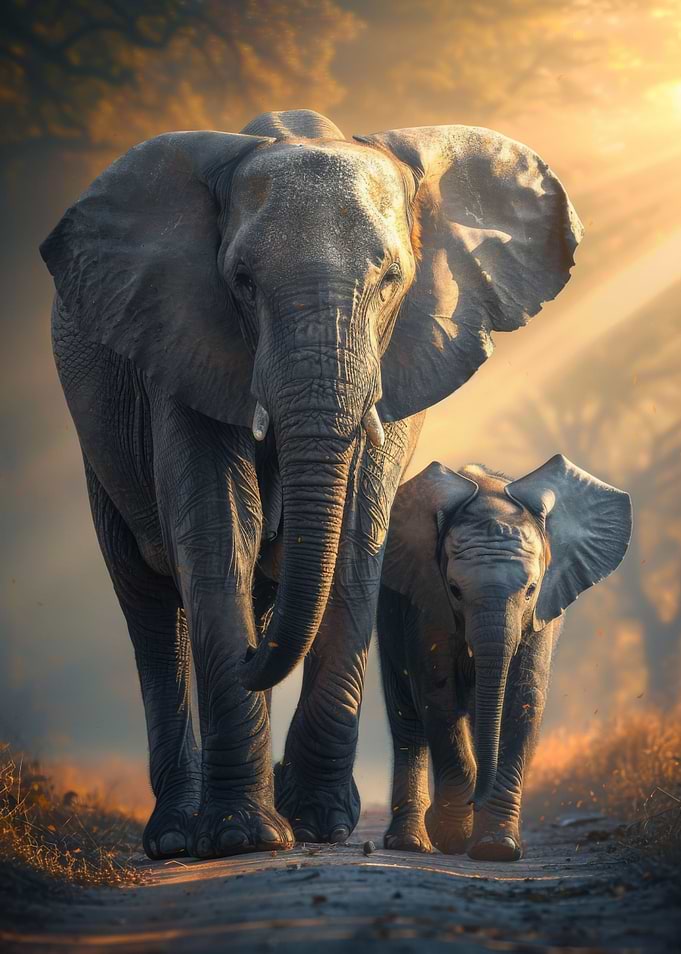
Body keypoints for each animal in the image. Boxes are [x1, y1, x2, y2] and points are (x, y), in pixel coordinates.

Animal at [40, 108, 582, 860]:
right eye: (240, 280)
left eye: (390, 278)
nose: (248, 655)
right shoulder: (177, 342)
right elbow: (219, 532)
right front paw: (241, 837)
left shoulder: (400, 361)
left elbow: (356, 539)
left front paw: (321, 823)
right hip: (101, 438)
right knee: (149, 605)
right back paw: (179, 835)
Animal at [377, 455, 632, 861]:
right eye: (454, 590)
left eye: (530, 590)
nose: (475, 803)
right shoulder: (428, 604)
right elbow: (437, 695)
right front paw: (452, 836)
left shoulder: (544, 609)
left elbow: (521, 698)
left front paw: (496, 848)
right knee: (406, 718)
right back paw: (410, 843)